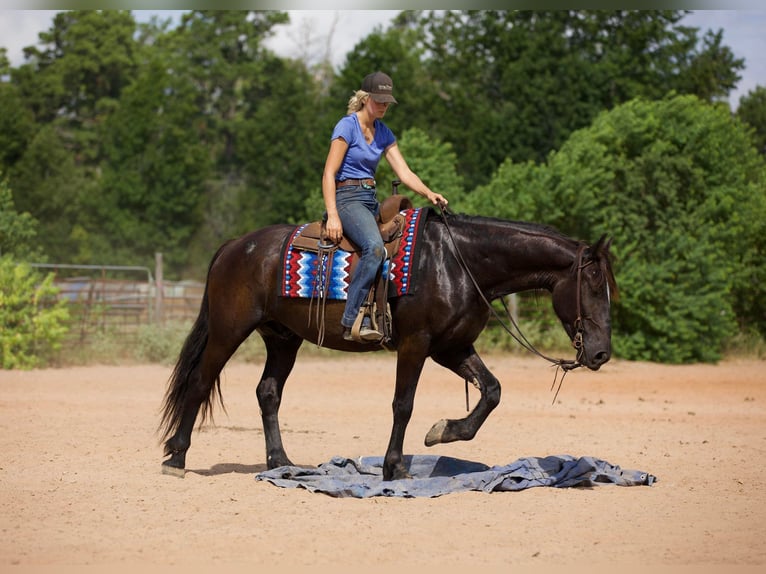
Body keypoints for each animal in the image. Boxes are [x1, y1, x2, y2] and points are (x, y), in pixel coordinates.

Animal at [160, 210, 616, 482]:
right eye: (593, 285)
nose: (600, 353)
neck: (457, 262)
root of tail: (235, 247)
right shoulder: (417, 344)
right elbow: (403, 404)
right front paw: (395, 467)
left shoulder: (453, 347)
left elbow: (492, 391)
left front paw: (443, 432)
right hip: (228, 330)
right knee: (200, 383)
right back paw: (176, 458)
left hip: (282, 338)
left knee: (268, 393)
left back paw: (282, 462)